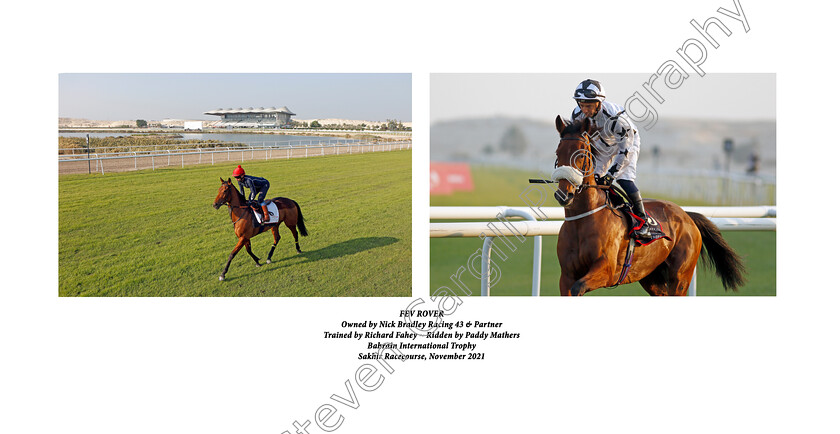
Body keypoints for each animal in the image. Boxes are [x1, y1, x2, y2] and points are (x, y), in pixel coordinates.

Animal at [556, 115, 744, 294]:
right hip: (650, 275)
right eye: (558, 153)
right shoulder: (566, 276)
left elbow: (578, 287)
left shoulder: (606, 270)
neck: (583, 220)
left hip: (681, 277)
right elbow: (571, 287)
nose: (564, 194)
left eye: (581, 155)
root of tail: (686, 215)